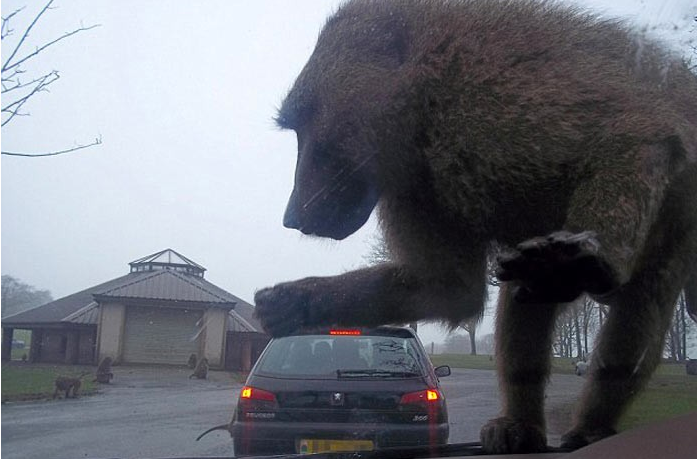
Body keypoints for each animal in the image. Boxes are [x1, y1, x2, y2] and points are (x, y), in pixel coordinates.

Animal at [253, 0, 692, 454]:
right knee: (527, 292)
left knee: (641, 296)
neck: (423, 94)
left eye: (305, 121)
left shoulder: (491, 99)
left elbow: (635, 130)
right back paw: (522, 427)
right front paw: (295, 302)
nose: (292, 217)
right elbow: (449, 288)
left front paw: (575, 262)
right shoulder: (417, 185)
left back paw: (590, 425)